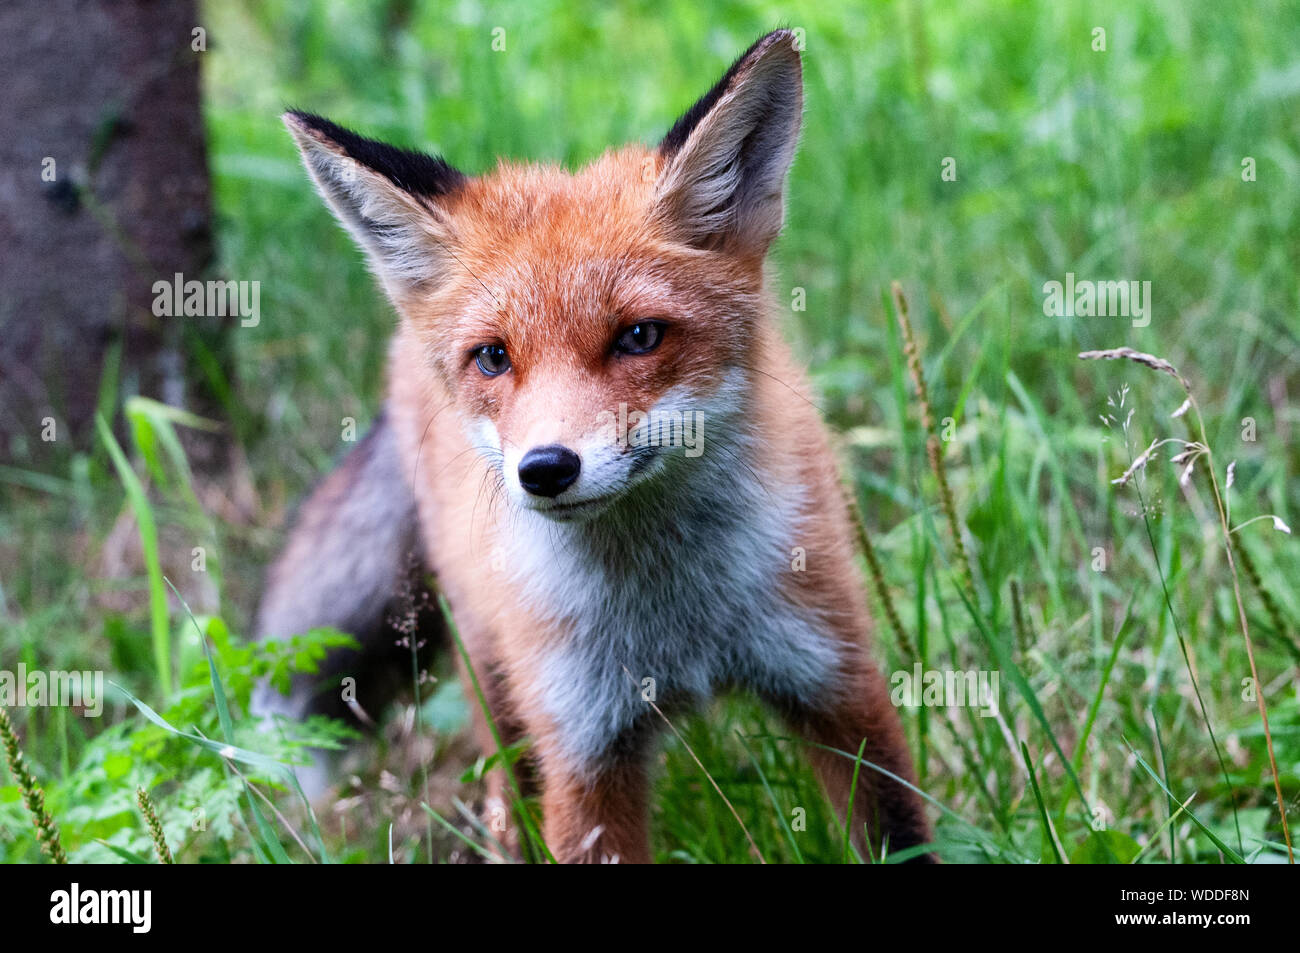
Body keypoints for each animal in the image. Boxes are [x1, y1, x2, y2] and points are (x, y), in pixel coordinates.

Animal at [254, 29, 934, 863]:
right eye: (493, 357)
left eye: (638, 336)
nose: (545, 469)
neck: (675, 615)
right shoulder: (584, 749)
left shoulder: (837, 681)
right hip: (500, 686)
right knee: (504, 792)